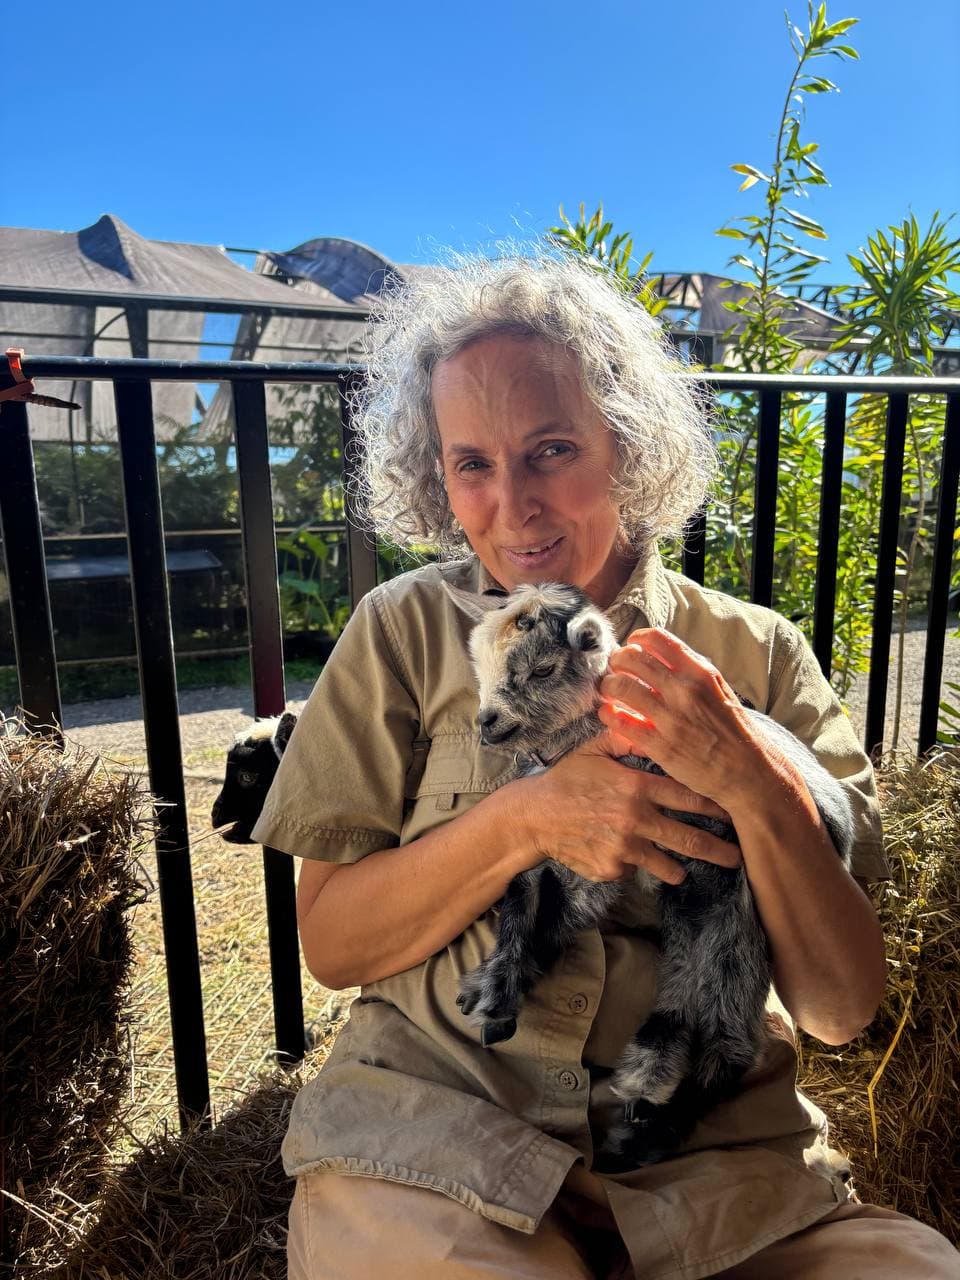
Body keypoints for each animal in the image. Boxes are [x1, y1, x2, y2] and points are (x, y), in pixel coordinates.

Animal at [450, 581, 854, 1168]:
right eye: (479, 664)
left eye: (544, 669)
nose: (488, 723)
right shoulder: (550, 834)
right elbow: (525, 903)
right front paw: (493, 993)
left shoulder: (606, 853)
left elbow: (552, 910)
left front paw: (499, 1001)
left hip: (734, 924)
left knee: (725, 1037)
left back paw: (645, 1120)